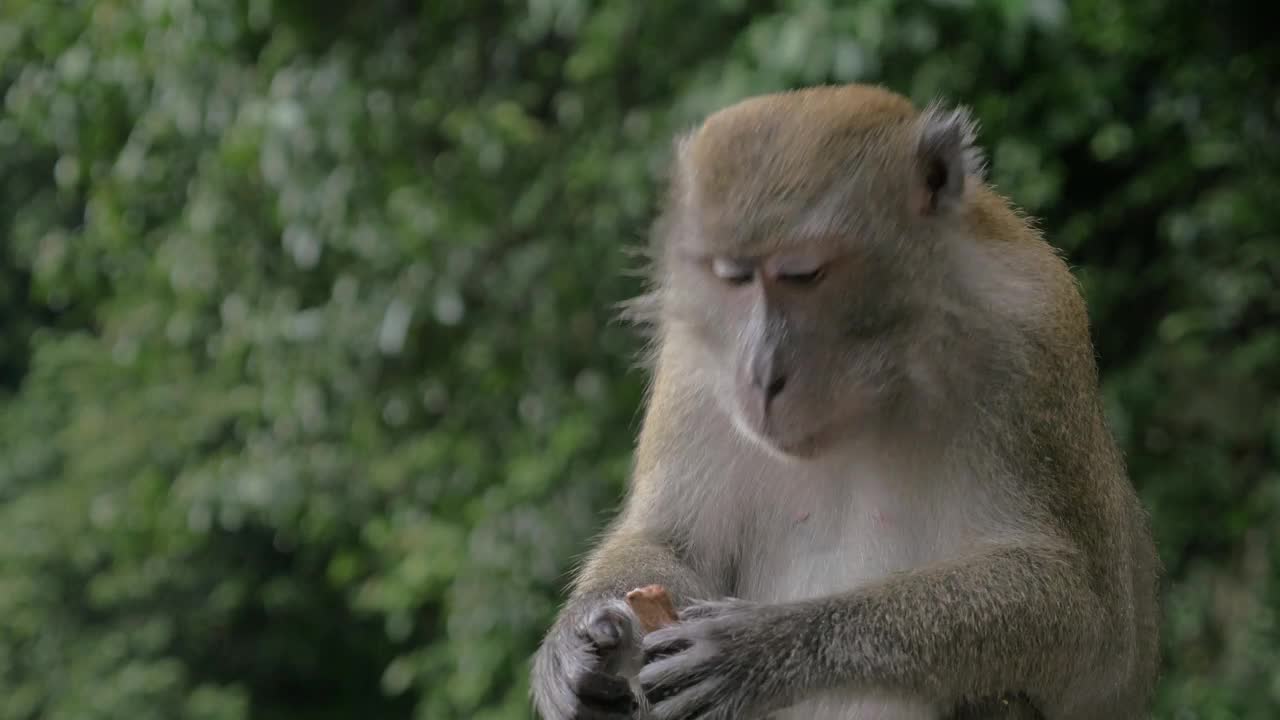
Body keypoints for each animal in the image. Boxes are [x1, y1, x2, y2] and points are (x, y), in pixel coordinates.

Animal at [529, 84, 1161, 720]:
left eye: (804, 274)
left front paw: (764, 647)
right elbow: (669, 542)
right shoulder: (694, 360)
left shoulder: (1031, 340)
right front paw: (579, 646)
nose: (761, 374)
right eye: (734, 278)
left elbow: (1090, 621)